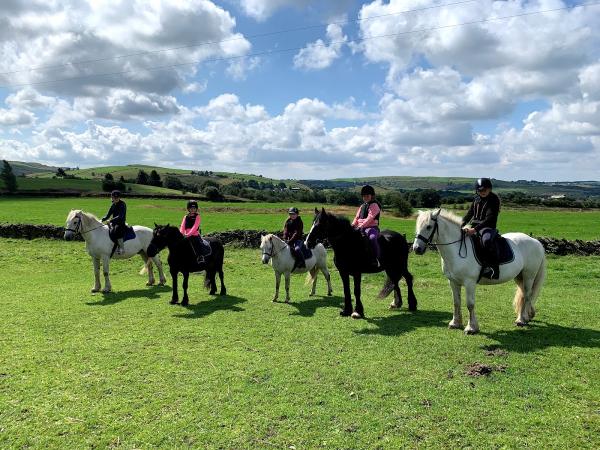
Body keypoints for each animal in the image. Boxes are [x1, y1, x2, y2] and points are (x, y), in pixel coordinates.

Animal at [414, 210, 548, 334]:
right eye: (417, 225)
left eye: (428, 226)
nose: (416, 249)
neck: (456, 249)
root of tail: (535, 241)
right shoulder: (453, 282)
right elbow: (456, 302)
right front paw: (455, 323)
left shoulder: (469, 282)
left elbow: (470, 304)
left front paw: (471, 328)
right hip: (519, 276)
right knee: (525, 295)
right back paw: (527, 316)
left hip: (529, 276)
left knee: (527, 295)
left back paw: (521, 320)